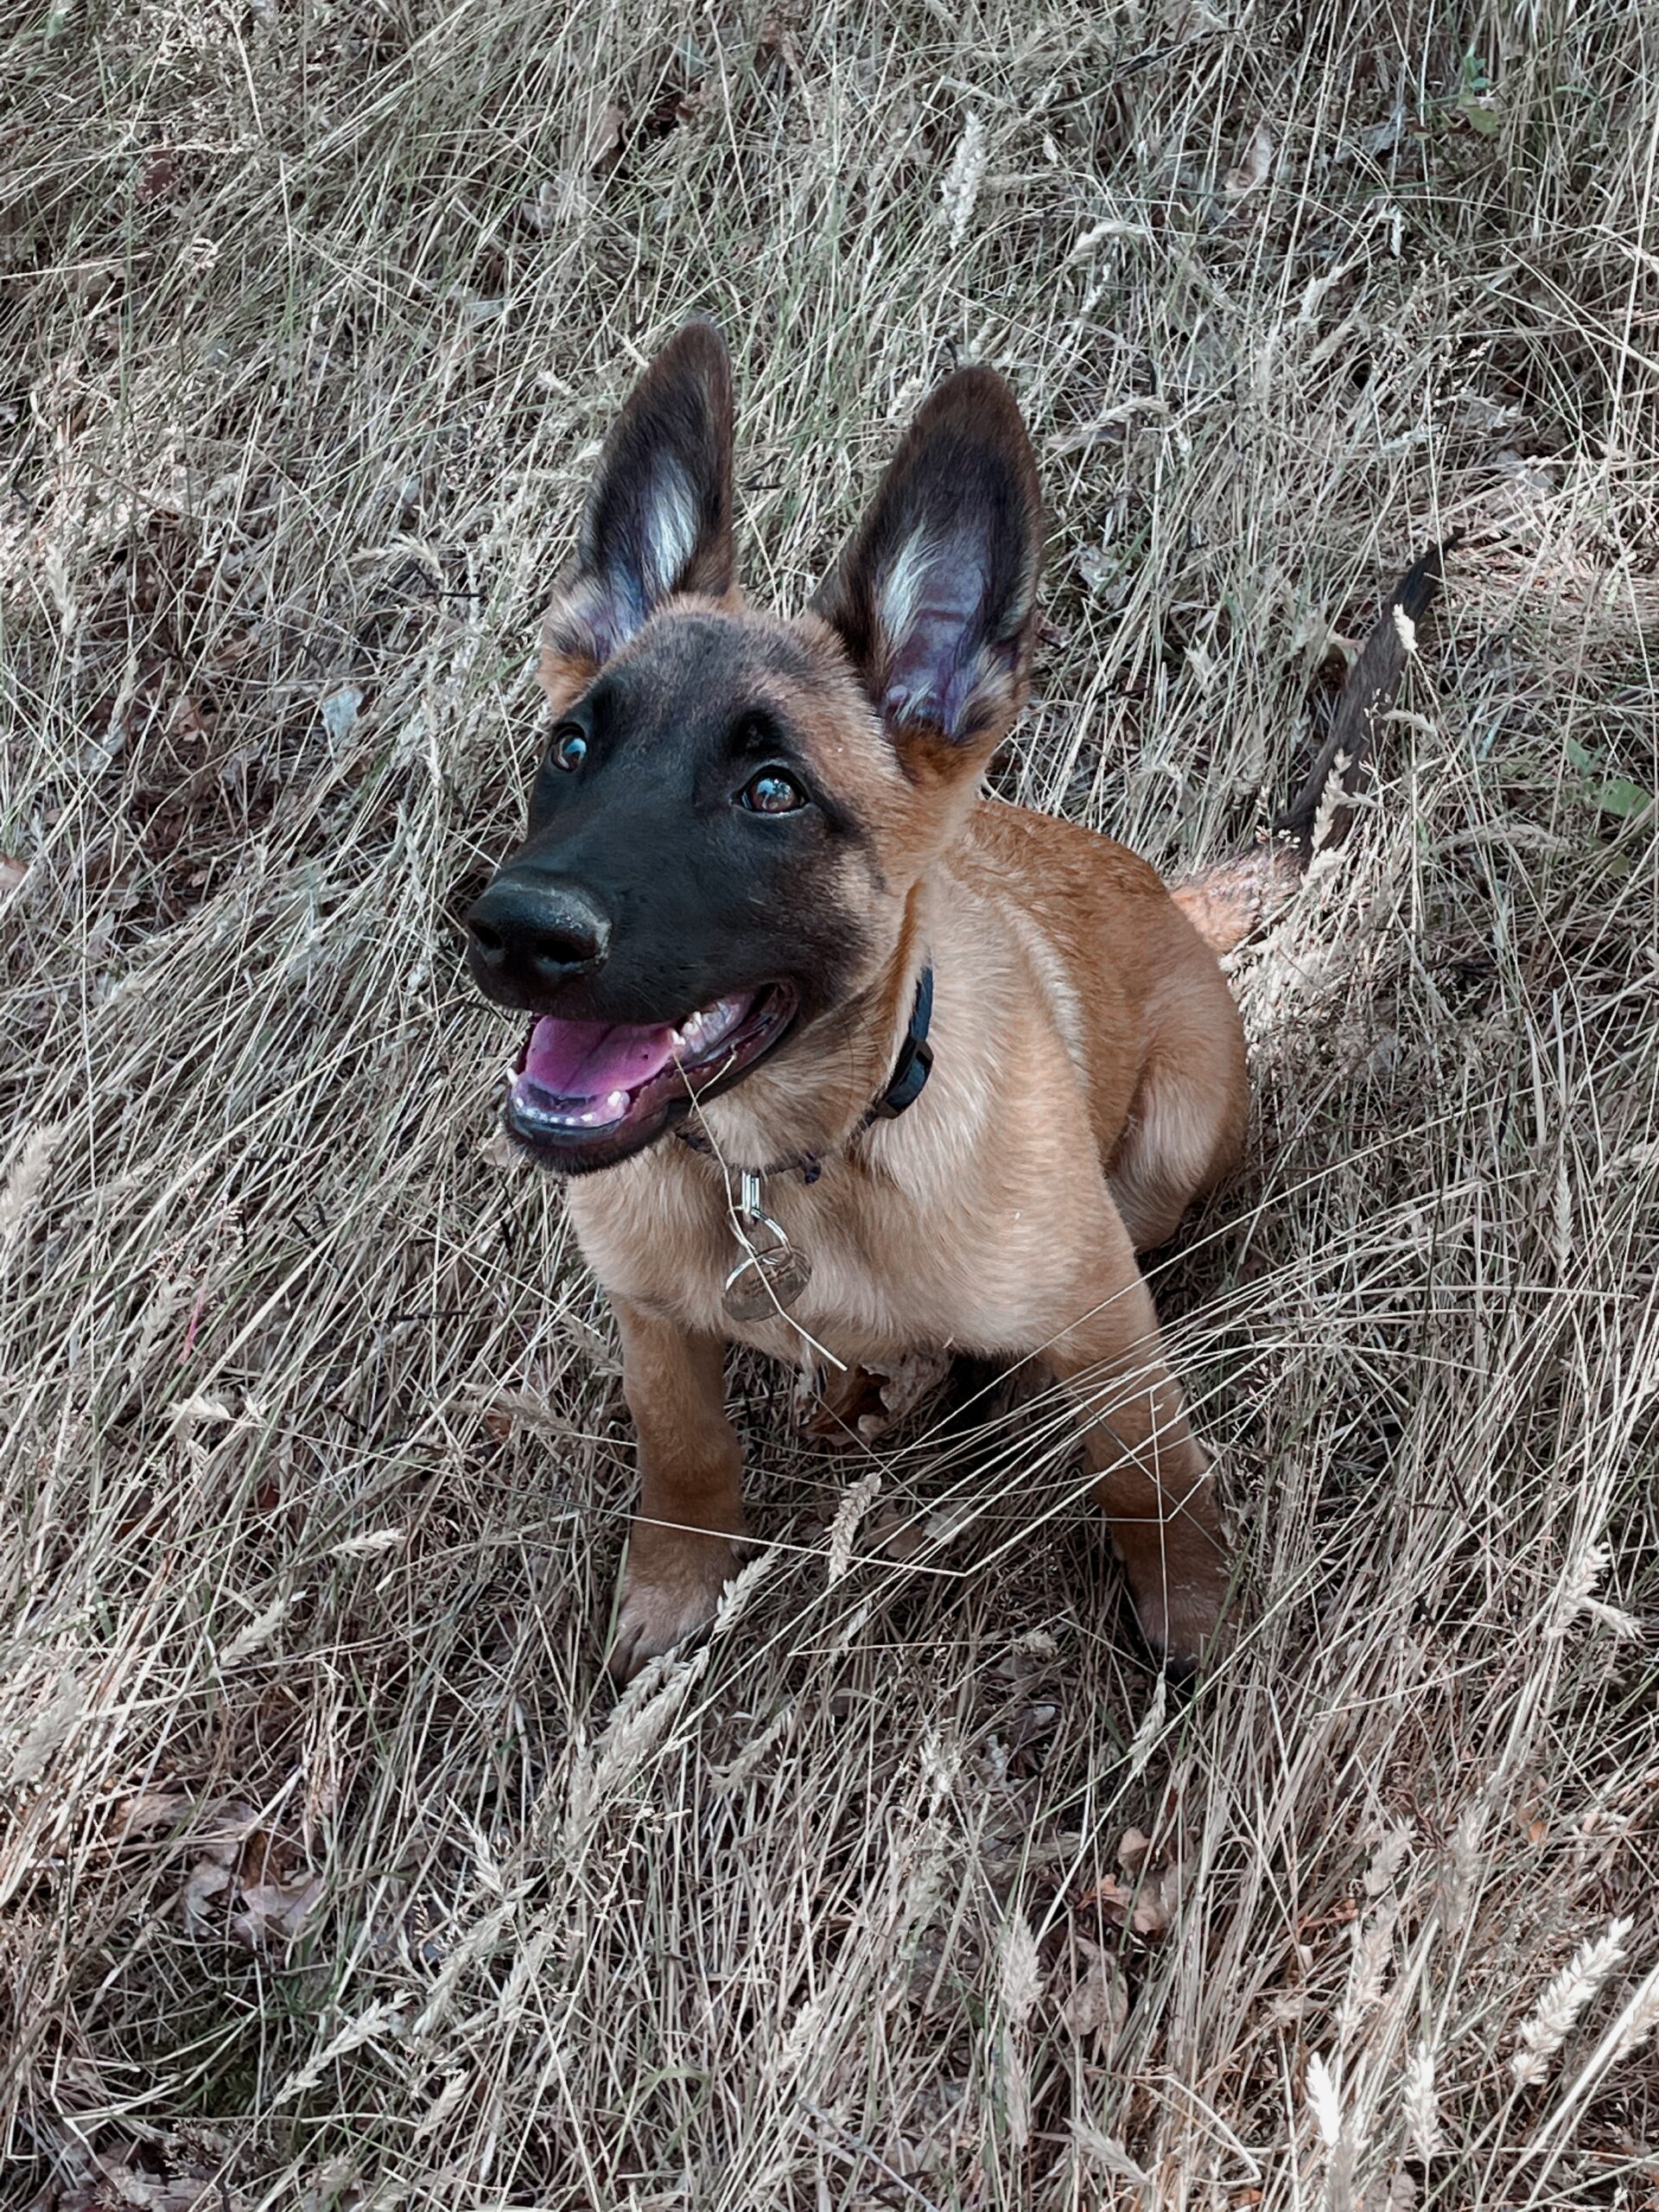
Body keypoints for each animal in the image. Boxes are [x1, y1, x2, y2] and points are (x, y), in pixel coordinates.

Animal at [464, 322, 1442, 1672]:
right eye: (572, 748)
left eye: (773, 792)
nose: (512, 930)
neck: (790, 1169)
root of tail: (1166, 893)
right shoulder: (651, 1316)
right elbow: (684, 1450)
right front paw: (673, 1589)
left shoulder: (1101, 1314)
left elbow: (1151, 1473)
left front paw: (1190, 1614)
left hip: (1172, 1141)